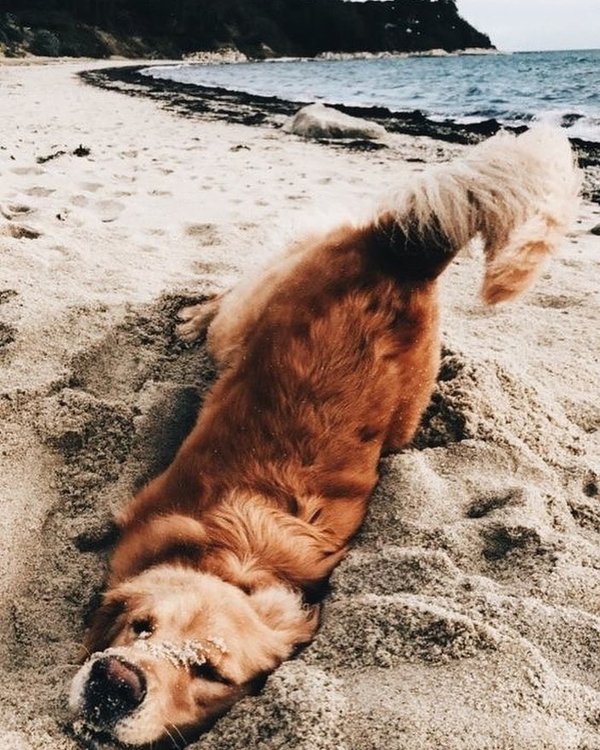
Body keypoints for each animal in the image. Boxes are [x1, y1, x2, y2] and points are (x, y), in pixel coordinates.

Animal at [69, 126, 579, 748]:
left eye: (211, 672)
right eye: (141, 627)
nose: (113, 681)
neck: (240, 564)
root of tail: (404, 251)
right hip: (251, 324)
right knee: (229, 299)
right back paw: (192, 318)